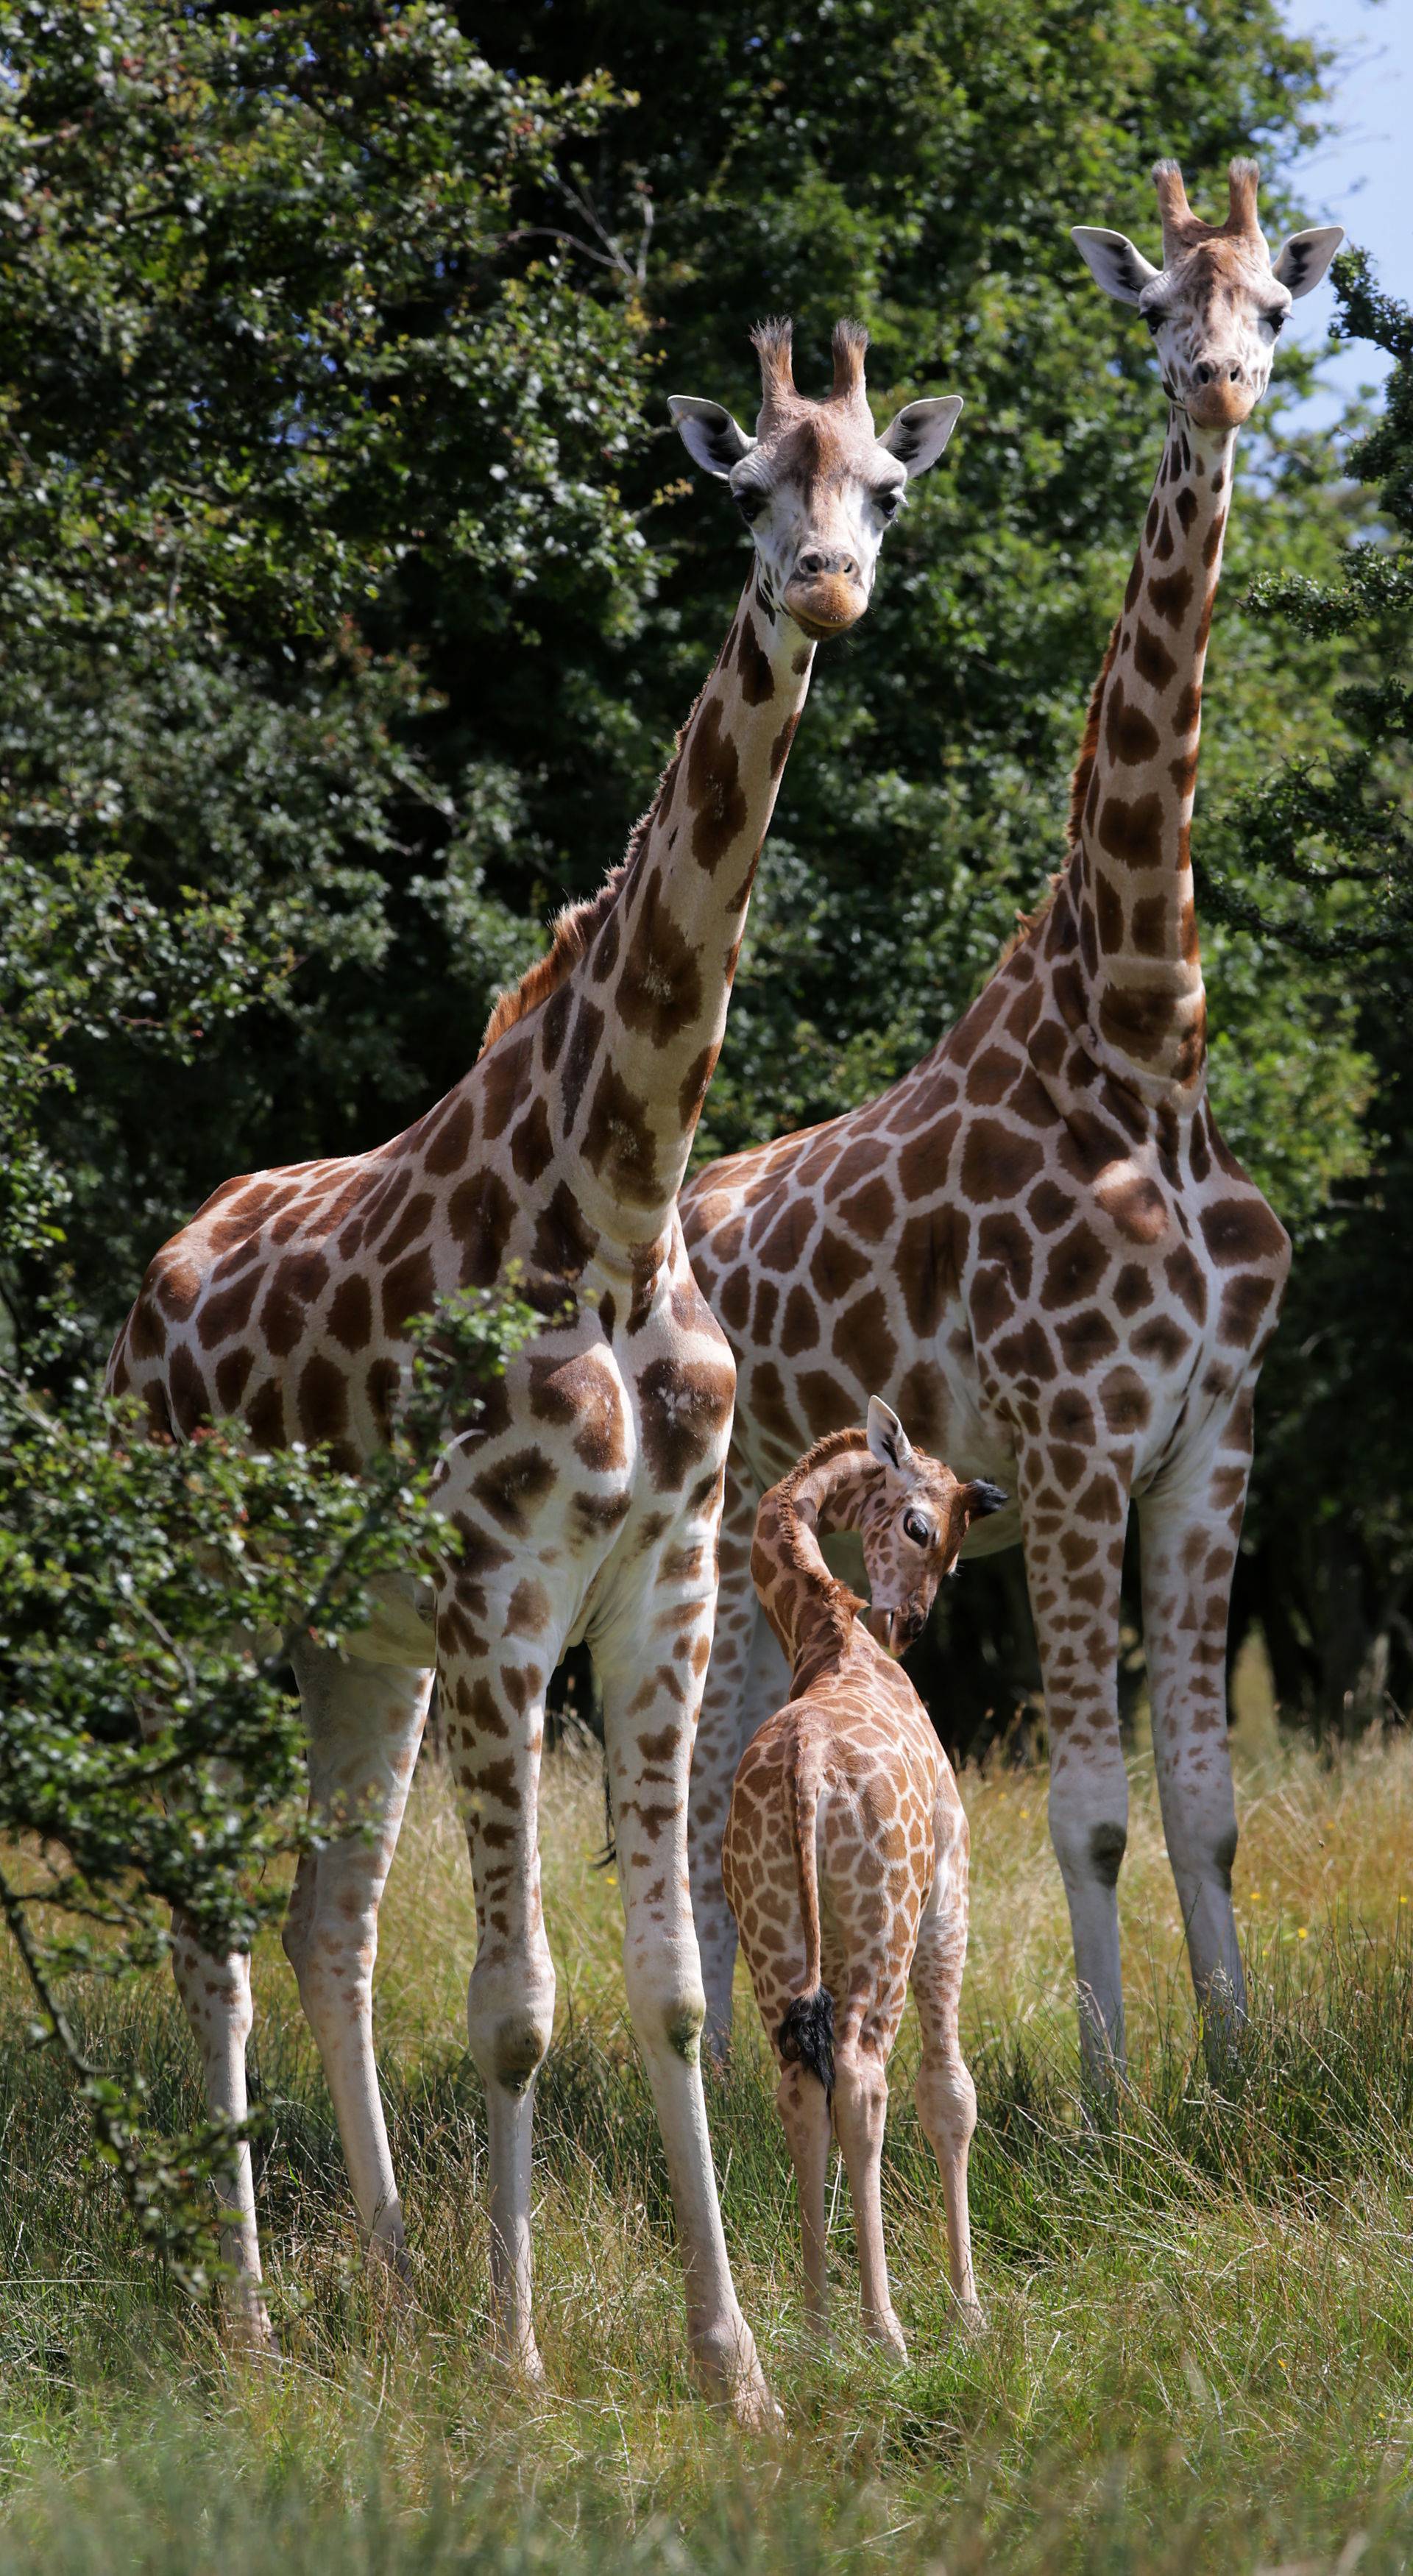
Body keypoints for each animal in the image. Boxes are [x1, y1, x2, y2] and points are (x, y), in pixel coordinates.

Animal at [107, 322, 957, 2411]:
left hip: (360, 1649)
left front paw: (733, 2365)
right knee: (209, 1940)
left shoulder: (655, 1587)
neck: (623, 1197)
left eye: (885, 483)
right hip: (218, 1627)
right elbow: (513, 2007)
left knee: (325, 1926)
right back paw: (260, 2316)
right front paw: (517, 2368)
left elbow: (670, 1990)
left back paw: (397, 2278)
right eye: (750, 485)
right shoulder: (504, 1593)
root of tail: (151, 1291)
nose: (825, 584)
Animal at [684, 166, 1348, 2071]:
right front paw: (1115, 2097)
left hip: (758, 1509)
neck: (1145, 1044)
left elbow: (1205, 1803)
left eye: (1277, 305)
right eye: (1156, 310)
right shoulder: (1064, 1445)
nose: (1215, 383)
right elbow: (1089, 1810)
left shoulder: (1209, 1444)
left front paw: (1231, 2072)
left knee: (709, 1768)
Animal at [720, 1401, 1008, 2360]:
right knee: (865, 2075)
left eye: (956, 1554)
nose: (910, 1621)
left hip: (775, 1931)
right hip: (888, 1921)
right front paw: (968, 2307)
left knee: (800, 2082)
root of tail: (808, 1768)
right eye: (922, 1526)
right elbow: (950, 2092)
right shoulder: (951, 1886)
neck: (828, 1634)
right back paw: (886, 2330)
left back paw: (817, 2330)